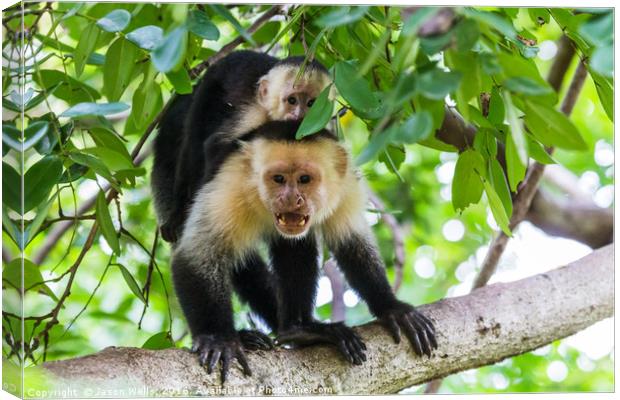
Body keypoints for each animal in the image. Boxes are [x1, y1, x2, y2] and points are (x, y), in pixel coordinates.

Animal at [152, 50, 332, 244]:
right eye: (292, 100)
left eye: (311, 103)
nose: (300, 115)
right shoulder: (254, 114)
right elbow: (215, 146)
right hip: (210, 86)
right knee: (193, 142)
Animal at [170, 120, 438, 382]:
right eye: (278, 179)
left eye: (305, 179)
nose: (291, 199)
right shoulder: (231, 184)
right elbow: (197, 256)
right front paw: (218, 339)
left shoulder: (345, 185)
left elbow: (352, 243)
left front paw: (391, 307)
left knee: (294, 245)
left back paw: (299, 330)